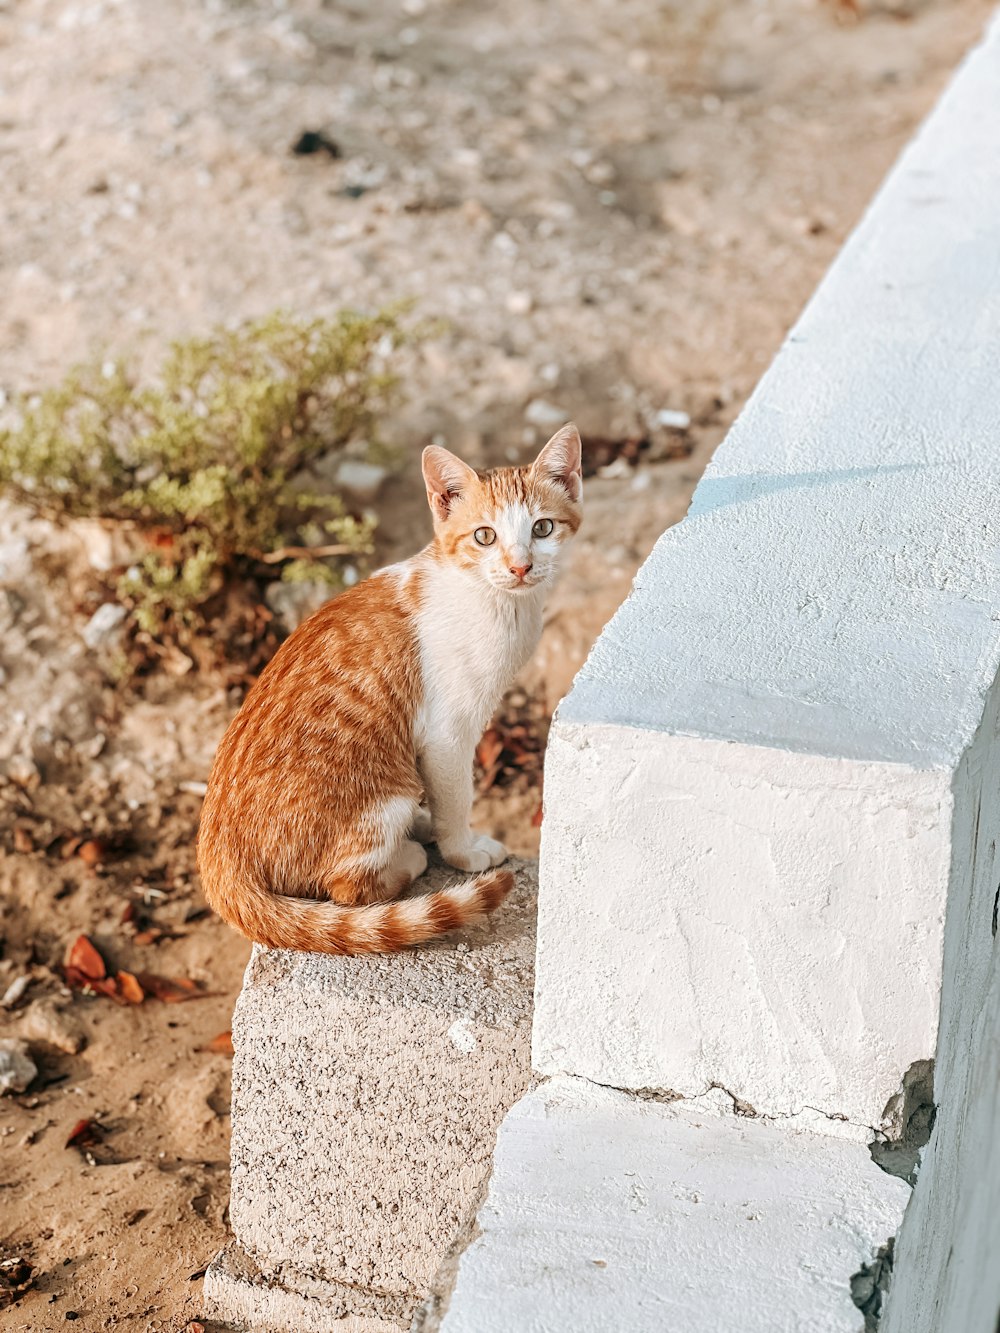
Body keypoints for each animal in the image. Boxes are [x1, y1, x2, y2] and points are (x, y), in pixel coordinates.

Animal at [197, 421, 584, 954]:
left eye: (542, 528)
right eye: (484, 536)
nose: (520, 566)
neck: (497, 603)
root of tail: (219, 856)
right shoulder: (447, 736)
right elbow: (457, 799)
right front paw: (463, 851)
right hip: (384, 798)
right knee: (344, 889)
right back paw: (409, 857)